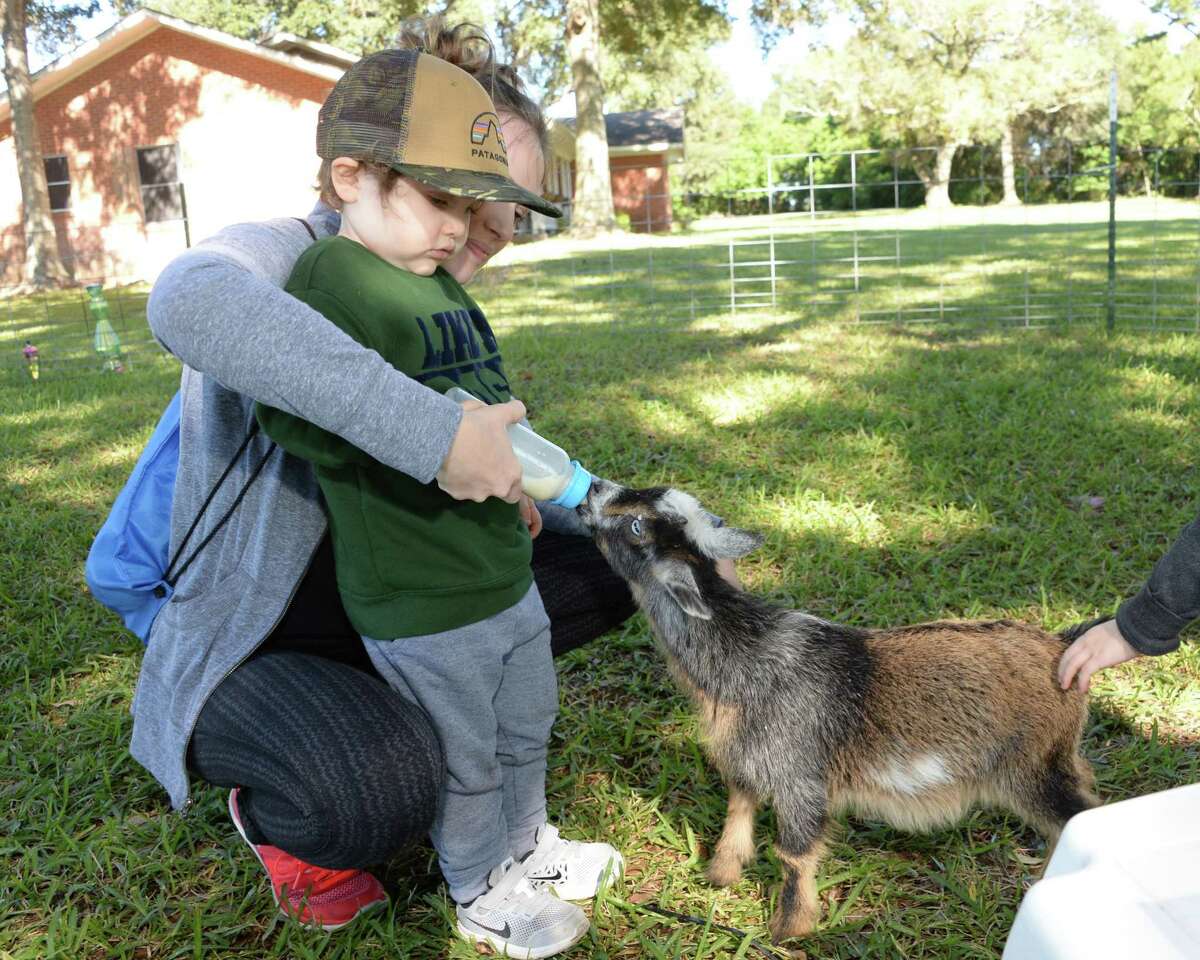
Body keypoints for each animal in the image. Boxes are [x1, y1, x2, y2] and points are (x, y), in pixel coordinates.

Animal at [577, 479, 1099, 942]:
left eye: (637, 528)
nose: (591, 490)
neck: (746, 660)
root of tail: (1062, 645)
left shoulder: (800, 778)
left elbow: (793, 854)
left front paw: (788, 929)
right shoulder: (749, 759)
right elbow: (738, 807)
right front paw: (722, 874)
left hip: (1030, 768)